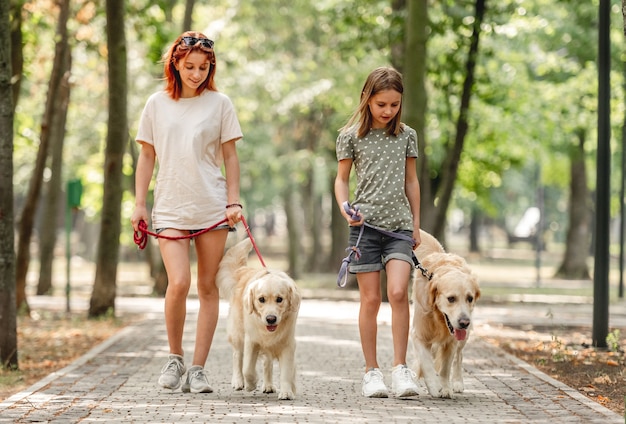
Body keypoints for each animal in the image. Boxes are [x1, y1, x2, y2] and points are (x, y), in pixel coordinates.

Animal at [216, 238, 302, 400]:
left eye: (279, 299)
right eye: (261, 299)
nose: (271, 319)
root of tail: (243, 271)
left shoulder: (287, 344)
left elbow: (287, 372)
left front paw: (287, 391)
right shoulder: (252, 340)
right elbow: (247, 368)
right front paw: (250, 383)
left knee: (267, 363)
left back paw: (268, 385)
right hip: (238, 333)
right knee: (237, 356)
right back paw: (238, 381)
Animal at [410, 229, 478, 398]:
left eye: (470, 298)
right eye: (451, 298)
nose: (464, 322)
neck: (438, 317)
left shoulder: (452, 340)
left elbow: (446, 367)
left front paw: (445, 387)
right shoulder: (419, 333)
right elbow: (426, 362)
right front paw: (433, 385)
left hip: (464, 336)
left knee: (459, 356)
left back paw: (458, 382)